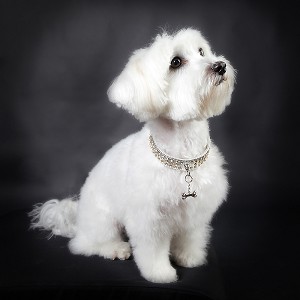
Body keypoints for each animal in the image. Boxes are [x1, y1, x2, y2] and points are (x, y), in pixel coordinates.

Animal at [30, 28, 237, 284]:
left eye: (201, 52)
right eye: (176, 62)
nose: (220, 66)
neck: (182, 158)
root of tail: (77, 221)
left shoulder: (196, 211)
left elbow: (191, 236)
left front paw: (189, 257)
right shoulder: (149, 218)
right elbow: (153, 249)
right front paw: (160, 273)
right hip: (103, 221)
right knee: (86, 245)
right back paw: (116, 249)